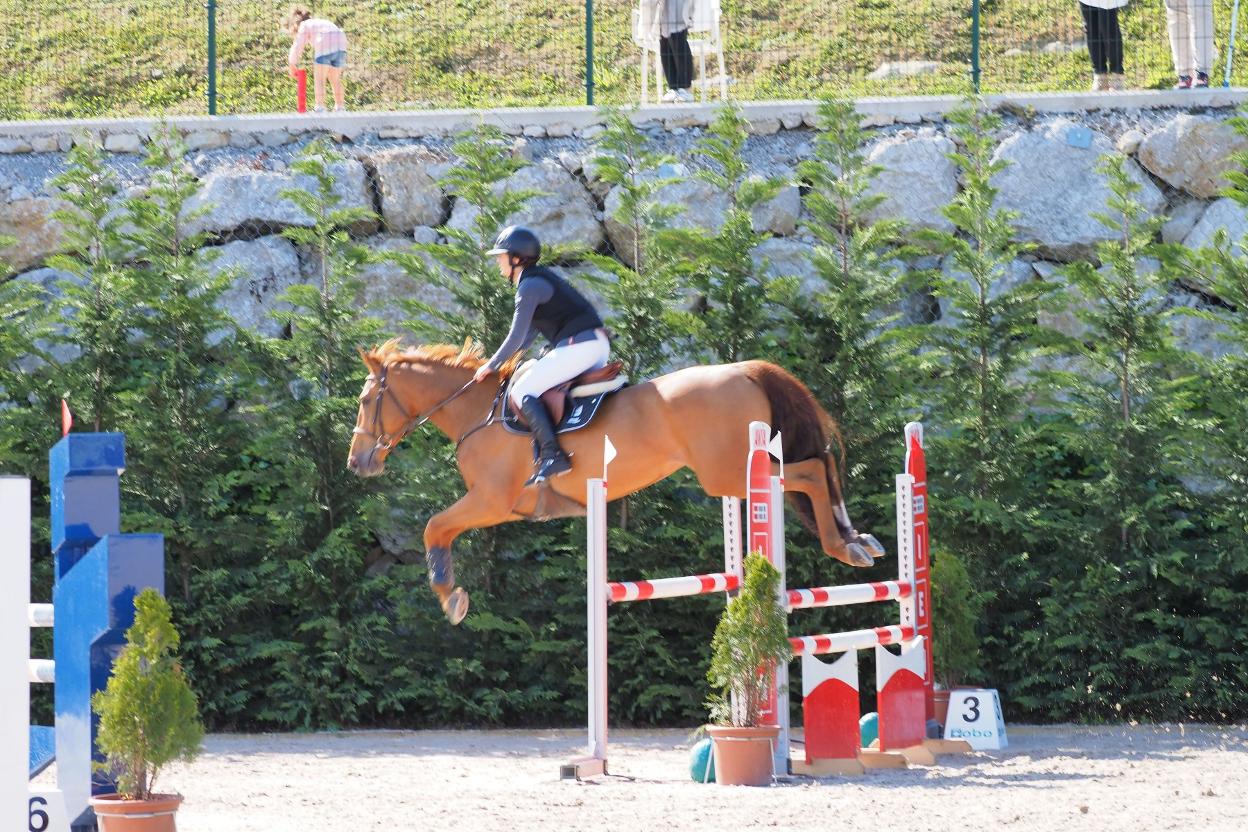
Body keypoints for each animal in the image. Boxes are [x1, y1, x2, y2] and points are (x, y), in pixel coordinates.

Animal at [346, 339, 883, 623]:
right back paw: (857, 538)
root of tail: (747, 371)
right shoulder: (496, 505)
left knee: (811, 469)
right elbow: (439, 528)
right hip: (734, 471)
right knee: (822, 464)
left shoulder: (491, 500)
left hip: (728, 471)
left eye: (367, 399)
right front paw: (452, 595)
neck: (477, 412)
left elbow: (434, 527)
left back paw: (844, 544)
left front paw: (450, 597)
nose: (358, 462)